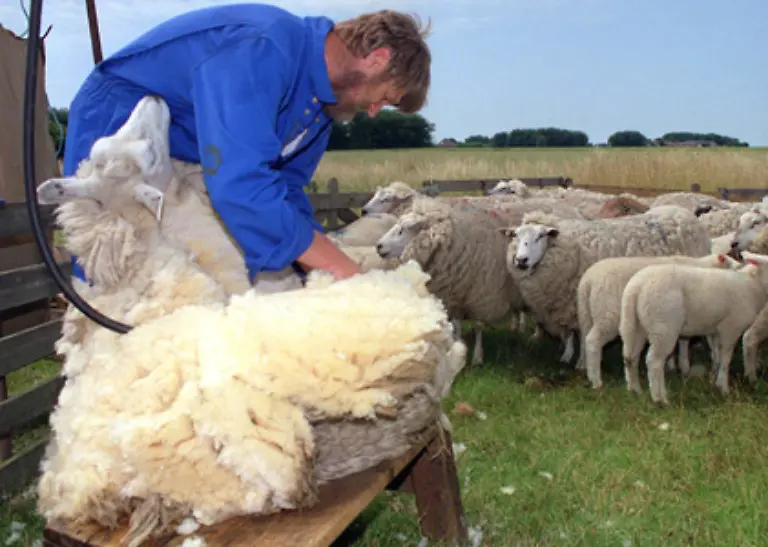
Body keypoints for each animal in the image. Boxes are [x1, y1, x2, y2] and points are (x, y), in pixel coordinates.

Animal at [376, 196, 526, 366]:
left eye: (403, 229)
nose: (378, 246)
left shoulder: (481, 295)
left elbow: (478, 325)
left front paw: (477, 357)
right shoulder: (454, 294)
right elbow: (457, 324)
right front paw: (459, 349)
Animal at [499, 207, 712, 366]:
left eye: (541, 236)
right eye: (516, 236)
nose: (521, 260)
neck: (571, 249)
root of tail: (684, 213)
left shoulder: (580, 303)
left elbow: (583, 334)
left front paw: (581, 363)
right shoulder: (565, 304)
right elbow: (569, 334)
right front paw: (567, 355)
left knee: (684, 339)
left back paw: (682, 364)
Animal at [576, 252, 740, 389]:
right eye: (732, 265)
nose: (740, 266)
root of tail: (587, 281)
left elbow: (683, 341)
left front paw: (678, 366)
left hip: (586, 314)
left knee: (585, 339)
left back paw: (587, 371)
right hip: (608, 315)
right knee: (593, 341)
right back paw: (597, 381)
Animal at [619, 256, 768, 405]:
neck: (753, 286)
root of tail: (637, 287)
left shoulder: (716, 330)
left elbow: (717, 356)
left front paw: (713, 380)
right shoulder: (730, 328)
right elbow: (726, 359)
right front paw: (724, 388)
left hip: (633, 326)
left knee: (630, 357)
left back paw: (635, 390)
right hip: (663, 326)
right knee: (654, 361)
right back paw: (660, 398)